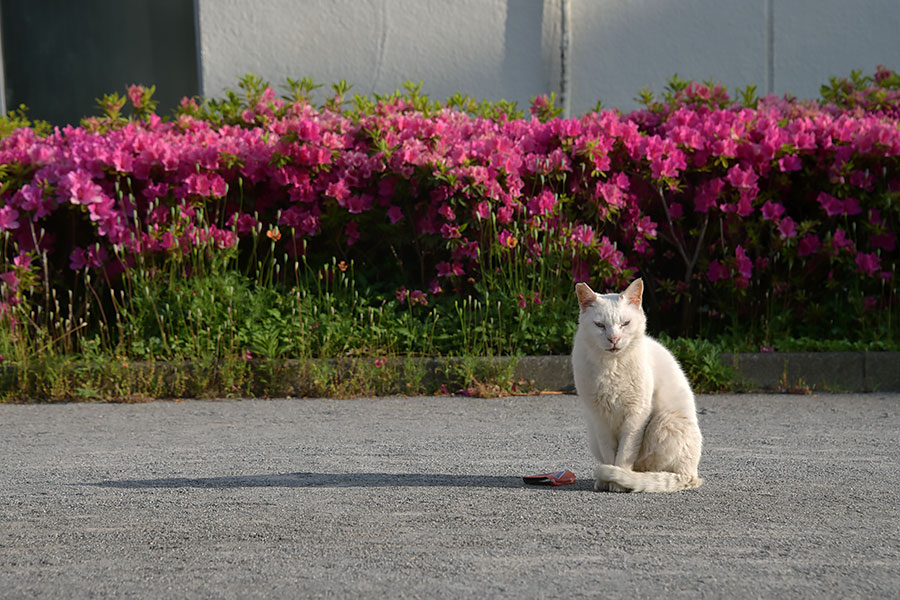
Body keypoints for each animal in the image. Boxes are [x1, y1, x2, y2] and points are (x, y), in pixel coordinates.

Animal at [568, 278, 704, 492]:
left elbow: (625, 452)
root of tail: (691, 473)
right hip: (594, 436)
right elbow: (609, 453)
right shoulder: (600, 419)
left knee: (652, 470)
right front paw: (609, 480)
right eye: (600, 325)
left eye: (625, 323)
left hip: (663, 422)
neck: (612, 366)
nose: (613, 339)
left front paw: (617, 482)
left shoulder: (636, 414)